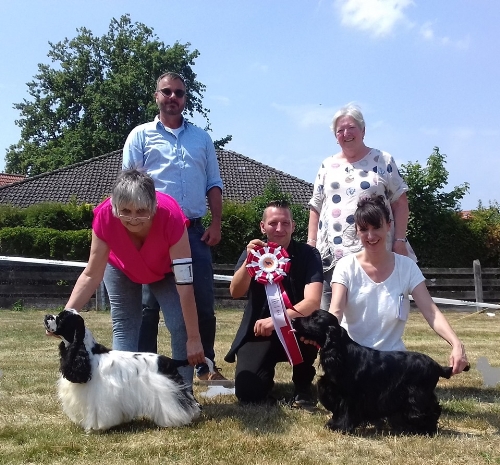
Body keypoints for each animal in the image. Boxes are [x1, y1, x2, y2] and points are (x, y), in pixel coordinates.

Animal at [44, 309, 201, 431]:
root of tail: (169, 361)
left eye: (61, 318)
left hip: (167, 391)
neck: (86, 352)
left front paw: (95, 428)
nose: (47, 316)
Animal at [293, 310, 469, 435]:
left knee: (430, 411)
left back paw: (426, 430)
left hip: (418, 395)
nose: (293, 320)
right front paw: (334, 424)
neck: (342, 352)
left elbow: (346, 411)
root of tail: (437, 365)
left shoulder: (351, 395)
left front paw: (340, 427)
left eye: (315, 318)